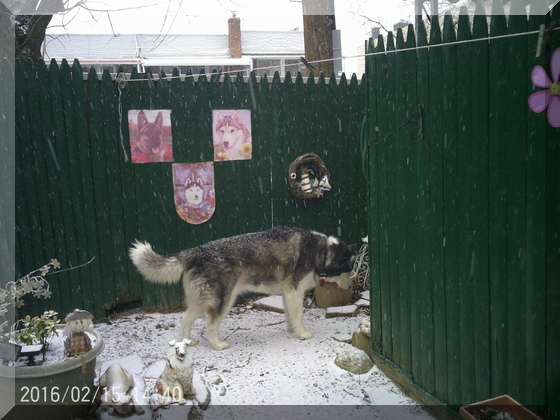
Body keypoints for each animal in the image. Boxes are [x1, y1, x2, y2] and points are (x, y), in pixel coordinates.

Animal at [130, 228, 356, 350]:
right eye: (349, 267)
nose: (352, 285)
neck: (322, 251)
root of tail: (199, 250)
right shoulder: (295, 291)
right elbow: (299, 314)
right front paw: (301, 333)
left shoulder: (287, 293)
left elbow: (290, 315)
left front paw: (292, 330)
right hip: (224, 299)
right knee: (210, 323)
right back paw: (217, 345)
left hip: (201, 299)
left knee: (186, 317)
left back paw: (187, 340)